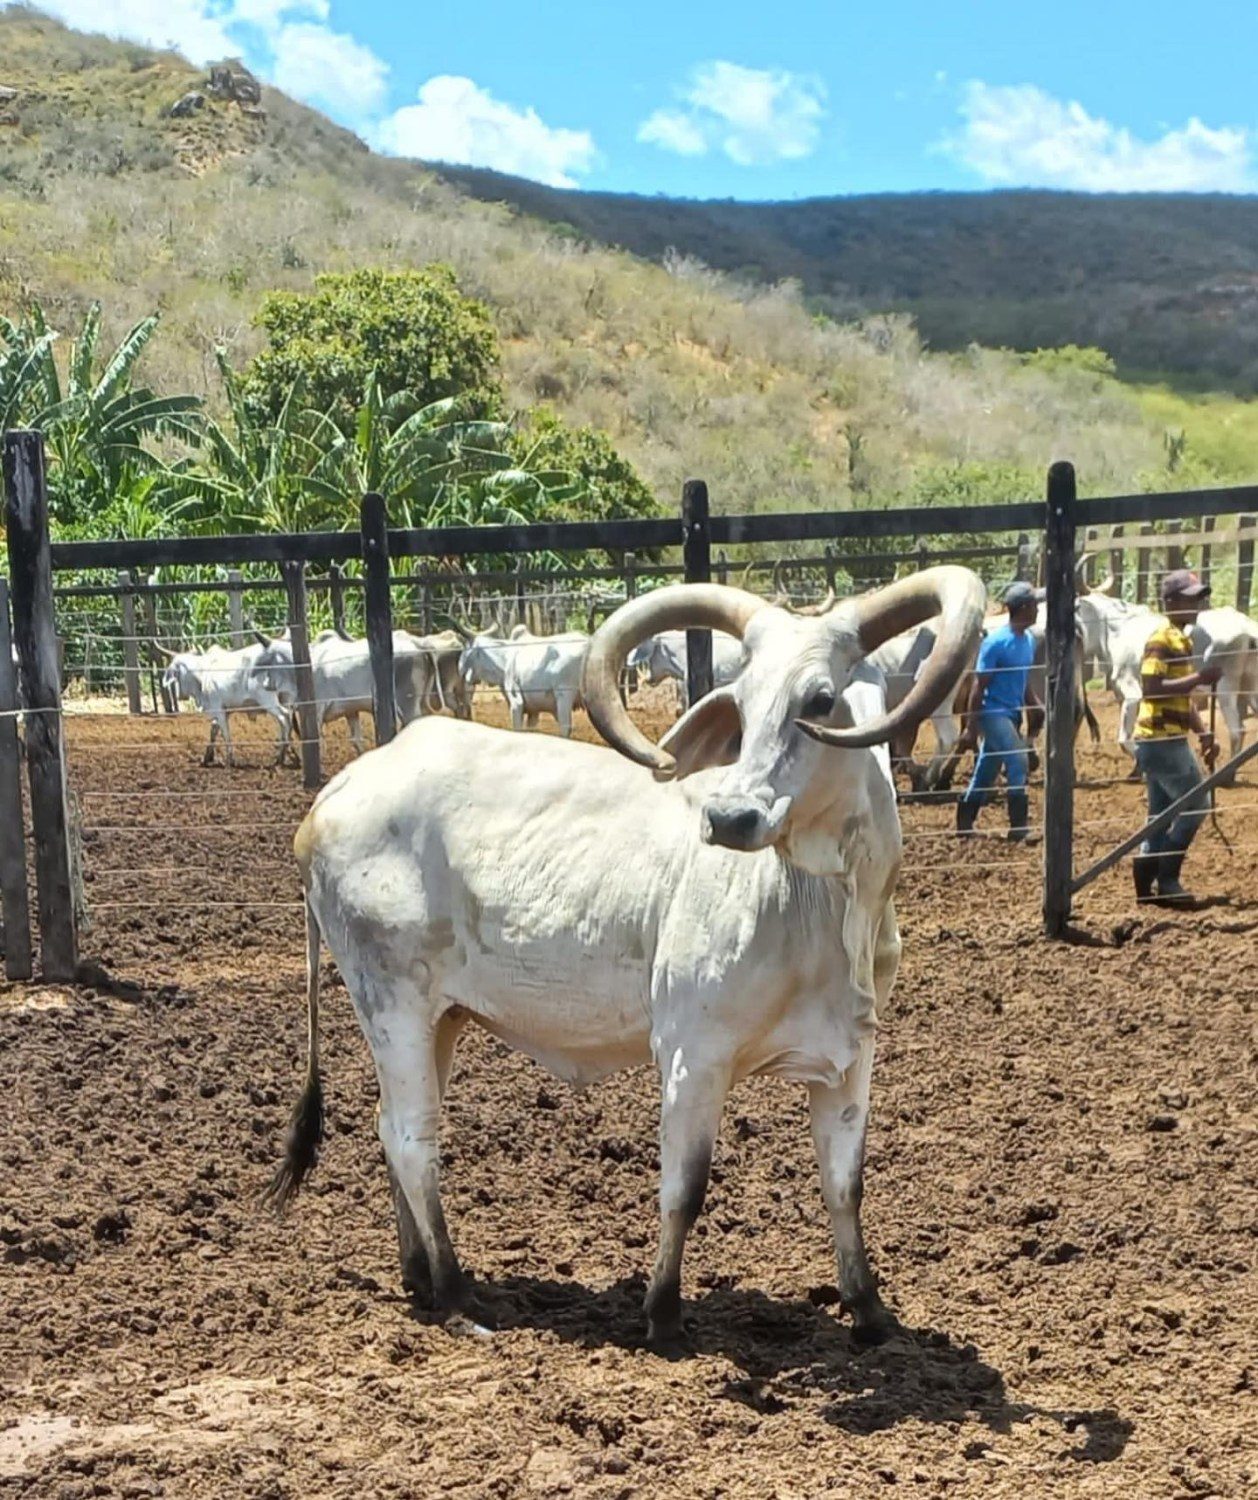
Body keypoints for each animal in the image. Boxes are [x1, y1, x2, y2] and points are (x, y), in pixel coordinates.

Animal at [157, 639, 292, 768]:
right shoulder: (225, 710)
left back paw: (280, 756)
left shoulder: (218, 709)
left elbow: (225, 734)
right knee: (288, 718)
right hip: (286, 697)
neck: (203, 674)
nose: (180, 696)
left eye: (177, 674)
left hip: (267, 699)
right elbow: (214, 731)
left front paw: (229, 760)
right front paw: (207, 758)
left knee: (283, 717)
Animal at [265, 570, 989, 1350]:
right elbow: (685, 1187)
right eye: (742, 700)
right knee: (411, 1137)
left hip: (441, 1019)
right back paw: (459, 1295)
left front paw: (869, 1310)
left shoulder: (850, 1061)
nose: (729, 817)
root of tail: (334, 795)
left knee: (389, 1126)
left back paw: (418, 1277)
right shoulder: (692, 1054)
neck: (821, 903)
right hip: (391, 1003)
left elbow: (845, 1185)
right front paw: (663, 1313)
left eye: (819, 701)